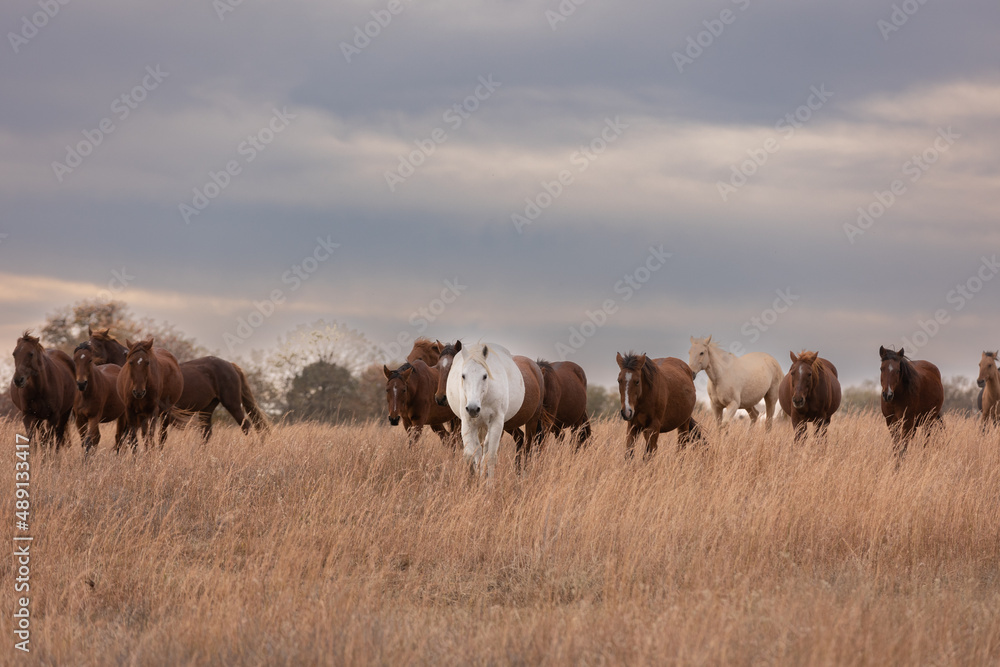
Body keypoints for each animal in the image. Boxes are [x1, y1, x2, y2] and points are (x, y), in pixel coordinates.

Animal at [450, 342, 548, 478]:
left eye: (485, 376)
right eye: (463, 376)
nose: (473, 408)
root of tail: (537, 368)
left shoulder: (496, 423)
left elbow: (490, 456)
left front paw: (487, 482)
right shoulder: (468, 422)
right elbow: (472, 455)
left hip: (532, 421)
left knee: (528, 446)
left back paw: (524, 474)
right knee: (520, 440)